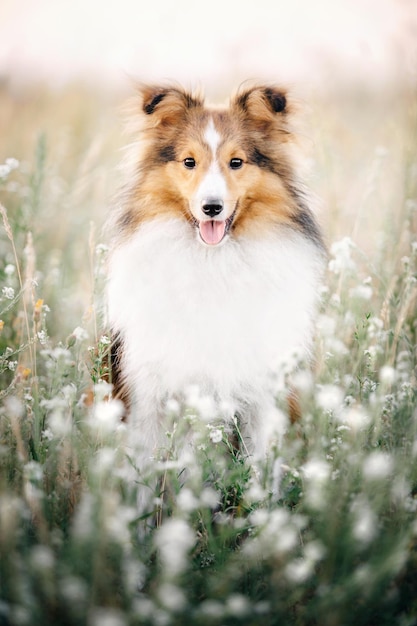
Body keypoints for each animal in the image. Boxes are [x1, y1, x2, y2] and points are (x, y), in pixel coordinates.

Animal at [105, 81, 324, 472]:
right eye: (189, 161)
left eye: (236, 162)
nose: (212, 207)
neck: (214, 262)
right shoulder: (148, 397)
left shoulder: (262, 398)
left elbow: (259, 471)